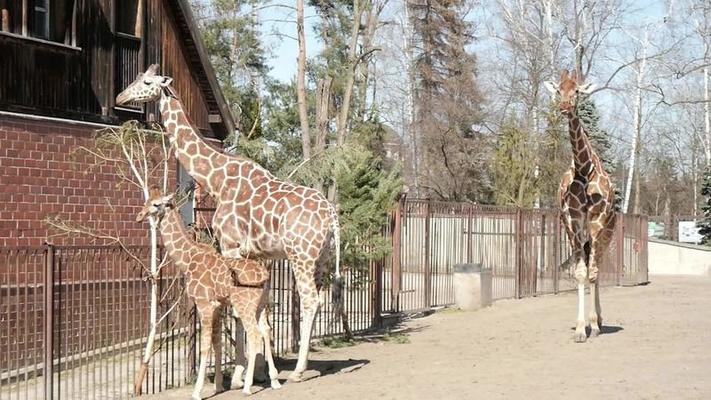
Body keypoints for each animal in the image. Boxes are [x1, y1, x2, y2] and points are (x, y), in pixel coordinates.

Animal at [135, 189, 282, 398]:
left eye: (156, 204)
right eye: (147, 201)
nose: (140, 216)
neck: (187, 259)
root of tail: (264, 275)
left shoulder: (203, 304)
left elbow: (204, 347)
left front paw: (197, 392)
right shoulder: (218, 305)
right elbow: (217, 343)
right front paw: (218, 386)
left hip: (244, 306)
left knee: (254, 335)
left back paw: (247, 387)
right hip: (260, 305)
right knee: (266, 330)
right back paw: (275, 381)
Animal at [544, 69, 616, 344]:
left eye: (576, 90)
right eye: (558, 89)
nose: (564, 106)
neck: (585, 171)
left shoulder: (597, 220)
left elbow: (593, 272)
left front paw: (593, 326)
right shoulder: (572, 220)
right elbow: (580, 272)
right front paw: (579, 329)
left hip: (608, 230)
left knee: (598, 266)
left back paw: (600, 321)